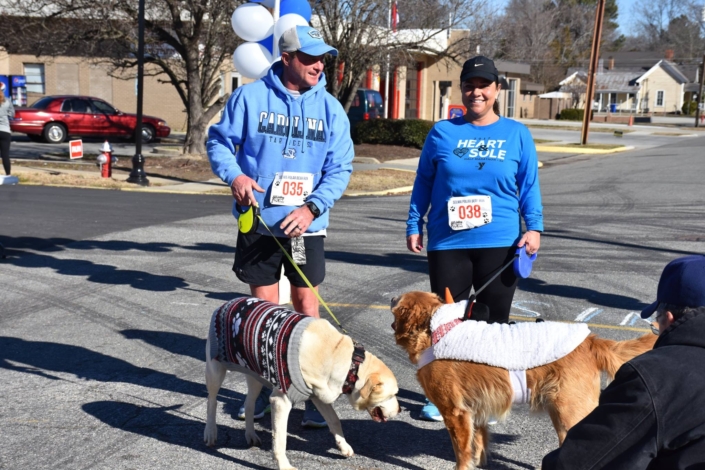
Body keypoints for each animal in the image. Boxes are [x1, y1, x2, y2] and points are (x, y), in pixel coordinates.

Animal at [206, 298, 398, 470]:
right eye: (393, 394)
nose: (400, 410)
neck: (345, 360)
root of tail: (227, 303)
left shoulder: (320, 394)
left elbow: (335, 421)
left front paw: (343, 446)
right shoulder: (281, 402)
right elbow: (280, 438)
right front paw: (284, 465)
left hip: (254, 375)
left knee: (249, 404)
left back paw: (250, 435)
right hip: (215, 370)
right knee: (212, 401)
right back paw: (210, 433)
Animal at [390, 292, 656, 468]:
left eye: (398, 302)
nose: (392, 298)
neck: (436, 331)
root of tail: (590, 340)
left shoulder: (455, 412)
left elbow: (462, 451)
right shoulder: (477, 409)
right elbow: (479, 443)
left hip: (571, 414)